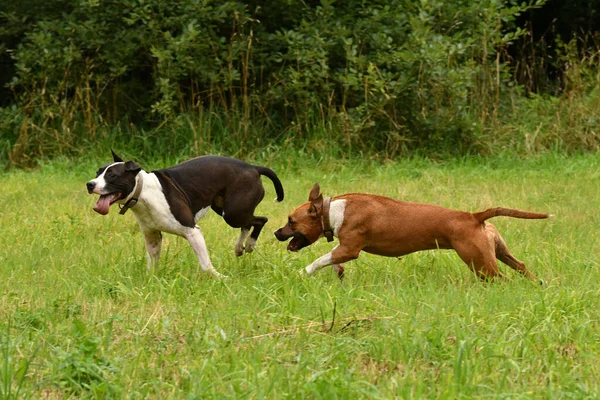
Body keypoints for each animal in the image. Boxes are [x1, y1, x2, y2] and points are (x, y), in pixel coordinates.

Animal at [86, 151, 286, 278]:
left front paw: (220, 278)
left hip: (233, 213)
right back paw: (239, 247)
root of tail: (253, 167)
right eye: (97, 172)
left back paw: (250, 244)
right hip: (226, 209)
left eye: (112, 175)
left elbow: (205, 264)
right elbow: (153, 262)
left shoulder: (192, 231)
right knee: (248, 223)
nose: (90, 184)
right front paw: (151, 280)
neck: (143, 192)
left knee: (260, 220)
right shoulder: (152, 237)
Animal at [274, 184, 552, 282]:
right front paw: (338, 272)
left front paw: (303, 272)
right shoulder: (342, 249)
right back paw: (537, 284)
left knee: (501, 278)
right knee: (521, 266)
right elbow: (330, 258)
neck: (332, 210)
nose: (276, 232)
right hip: (498, 252)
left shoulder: (349, 249)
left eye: (291, 221)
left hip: (480, 263)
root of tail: (474, 216)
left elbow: (320, 259)